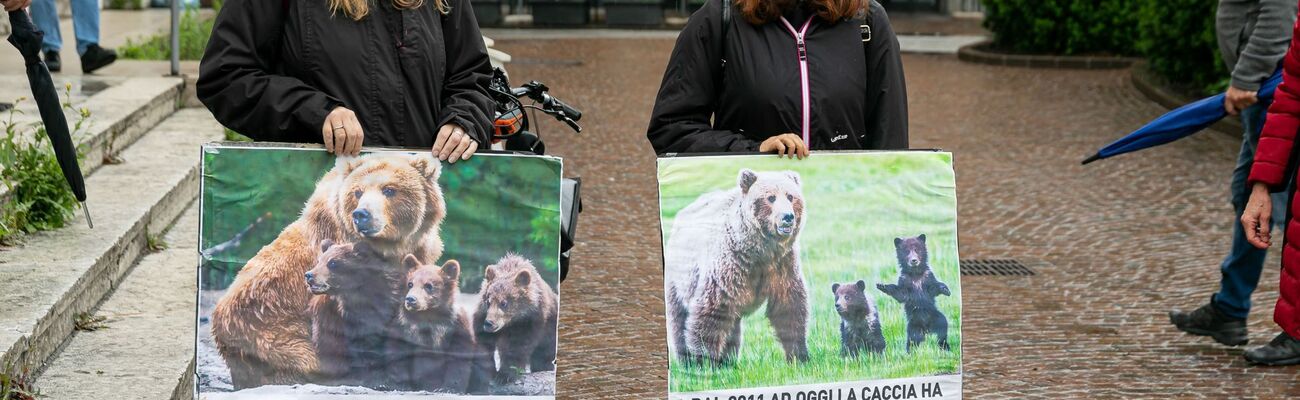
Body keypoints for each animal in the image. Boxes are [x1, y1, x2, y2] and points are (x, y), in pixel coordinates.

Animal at [384, 255, 491, 394]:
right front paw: (399, 384)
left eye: (428, 285)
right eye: (410, 284)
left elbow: (459, 356)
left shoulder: (456, 324)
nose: (411, 299)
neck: (429, 313)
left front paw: (450, 388)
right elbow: (398, 351)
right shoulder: (403, 323)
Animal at [475, 255, 561, 384]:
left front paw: (504, 375)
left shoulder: (529, 321)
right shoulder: (482, 315)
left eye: (504, 303)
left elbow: (517, 346)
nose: (489, 323)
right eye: (488, 301)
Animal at [665, 168, 806, 366]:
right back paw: (687, 360)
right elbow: (711, 311)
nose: (787, 216)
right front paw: (705, 363)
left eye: (790, 196)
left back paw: (728, 360)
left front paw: (799, 356)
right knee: (680, 318)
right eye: (770, 197)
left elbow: (789, 306)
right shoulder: (728, 267)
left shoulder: (782, 265)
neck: (758, 252)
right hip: (679, 279)